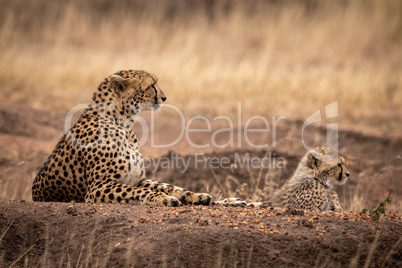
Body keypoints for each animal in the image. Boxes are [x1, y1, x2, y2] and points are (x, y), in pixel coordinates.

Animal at [31, 70, 212, 206]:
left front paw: (196, 195)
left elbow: (166, 186)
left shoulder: (137, 179)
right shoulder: (96, 188)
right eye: (151, 85)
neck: (124, 124)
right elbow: (139, 191)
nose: (164, 97)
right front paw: (163, 198)